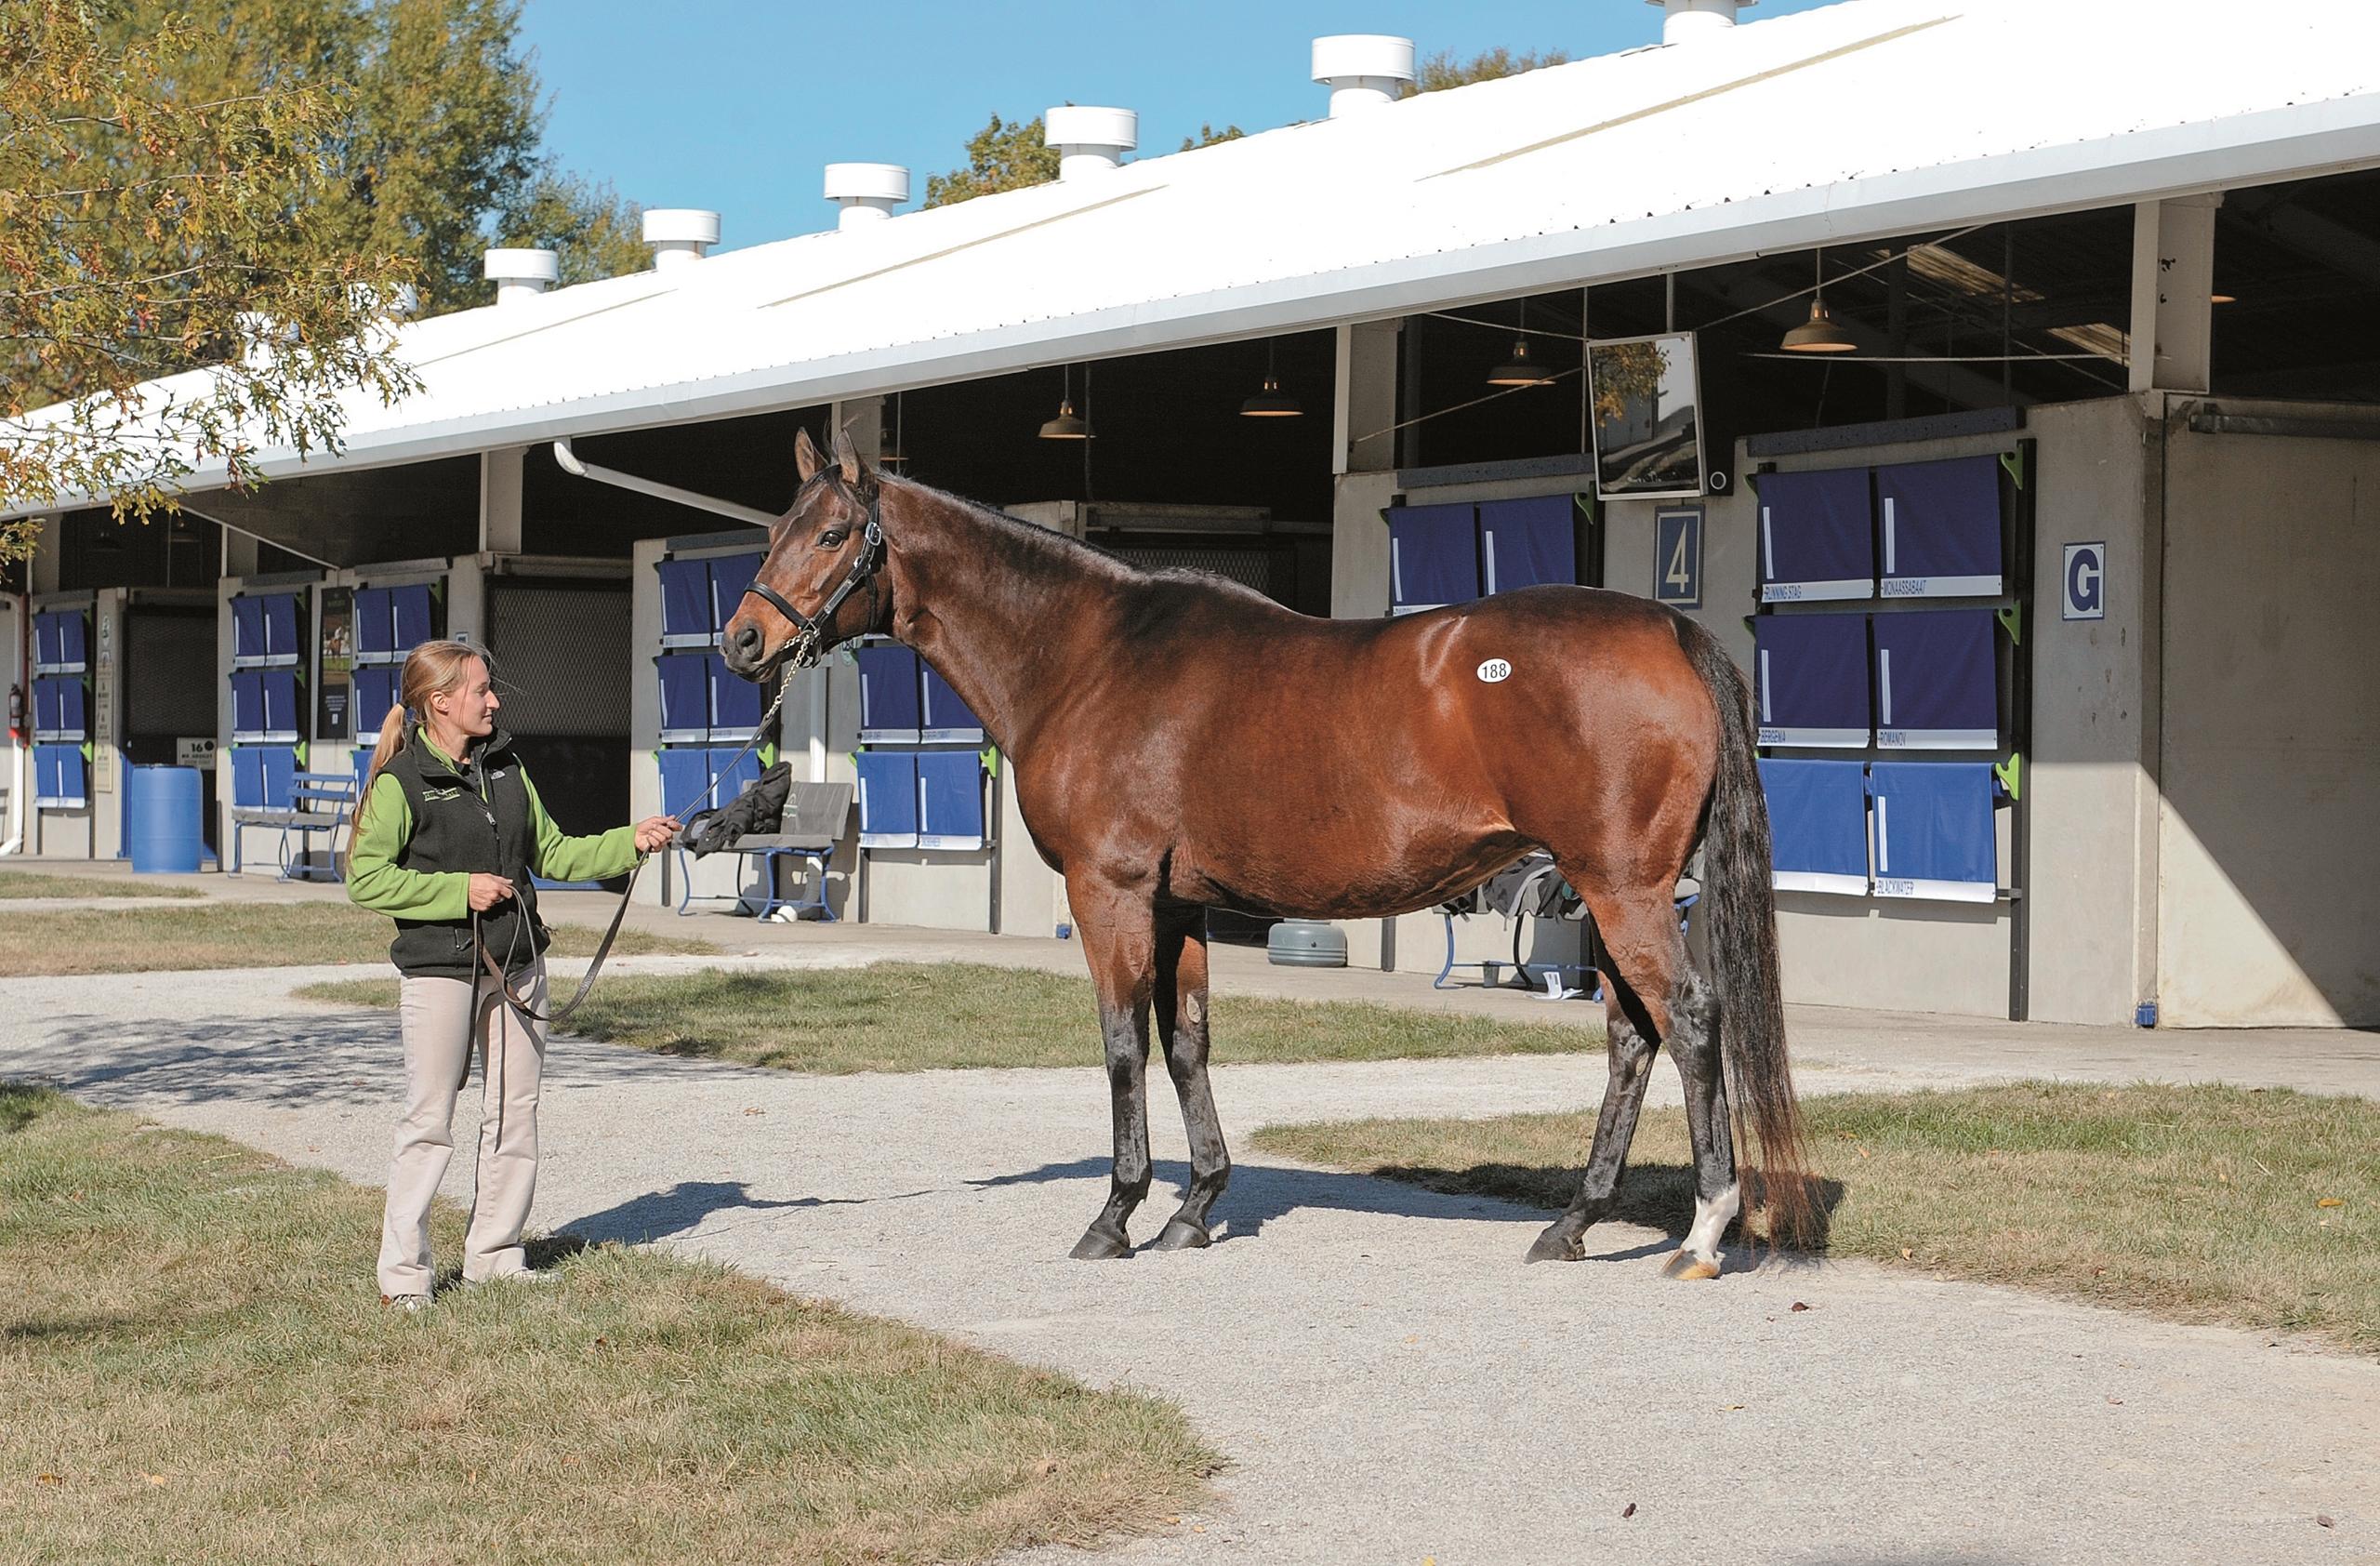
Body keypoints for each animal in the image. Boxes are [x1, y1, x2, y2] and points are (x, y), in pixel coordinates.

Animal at [725, 425, 1814, 1277]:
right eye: (772, 533)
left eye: (831, 534)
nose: (741, 644)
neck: (1088, 656)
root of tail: (1669, 628)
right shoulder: (1179, 903)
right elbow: (1187, 1043)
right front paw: (1194, 1209)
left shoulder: (1112, 892)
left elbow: (1122, 1046)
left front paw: (1115, 1216)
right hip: (1612, 891)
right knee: (1634, 1037)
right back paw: (1572, 1224)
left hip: (1623, 888)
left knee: (1690, 1020)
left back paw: (1704, 1230)